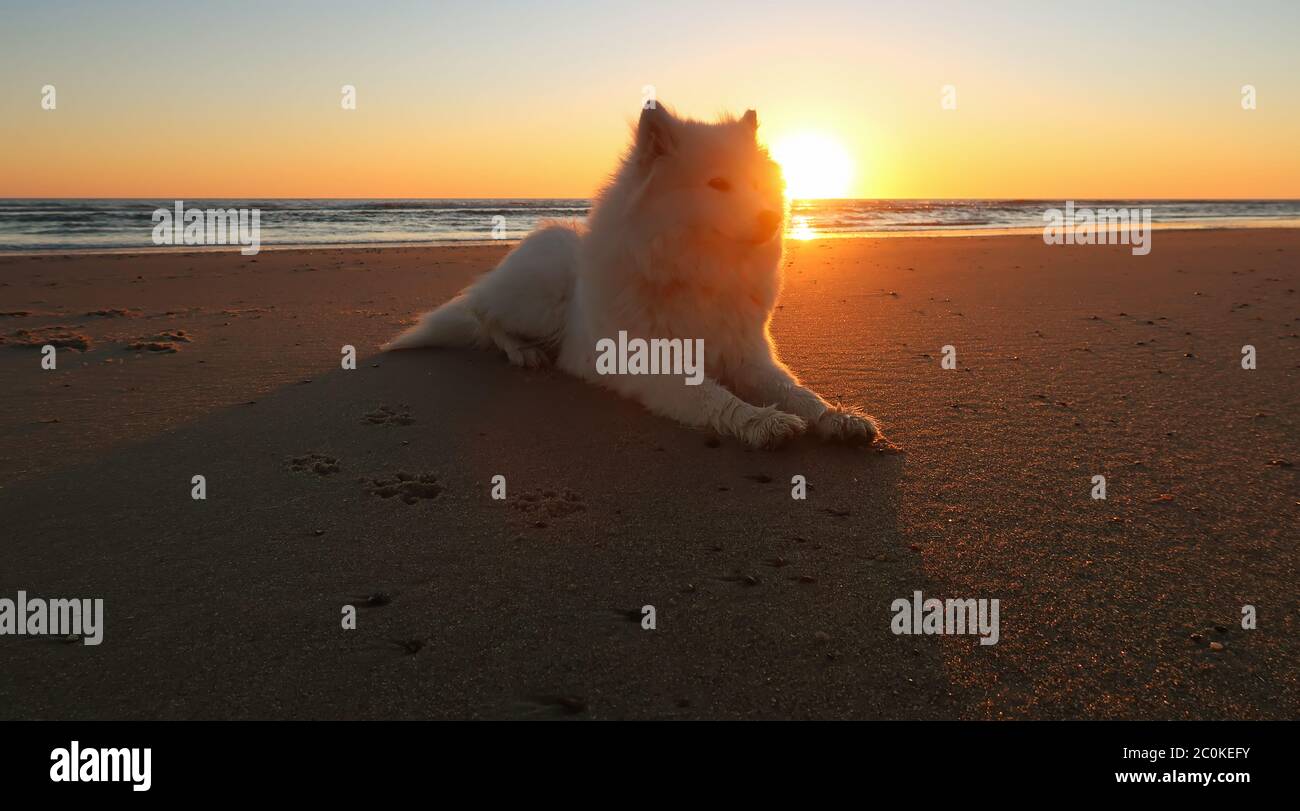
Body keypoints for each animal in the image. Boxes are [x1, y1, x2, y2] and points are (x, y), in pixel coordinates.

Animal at [387, 104, 883, 449]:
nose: (772, 218)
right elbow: (711, 396)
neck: (697, 272)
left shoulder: (747, 356)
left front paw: (839, 417)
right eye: (718, 184)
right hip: (542, 288)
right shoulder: (653, 362)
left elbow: (798, 392)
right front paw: (762, 421)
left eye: (758, 185)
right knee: (483, 314)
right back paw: (524, 352)